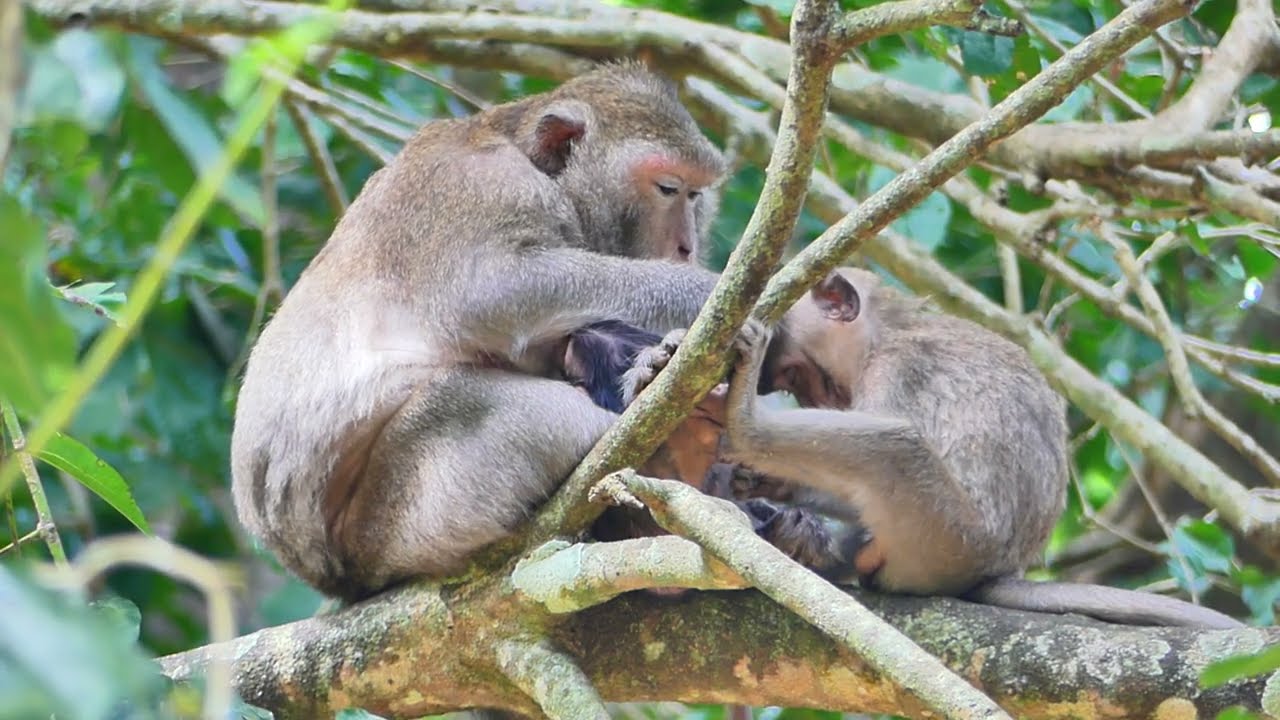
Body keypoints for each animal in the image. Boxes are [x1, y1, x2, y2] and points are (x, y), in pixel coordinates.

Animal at [230, 62, 728, 601]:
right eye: (668, 188)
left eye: (697, 194)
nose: (685, 247)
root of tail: (335, 578)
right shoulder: (478, 186)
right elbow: (486, 289)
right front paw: (704, 290)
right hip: (396, 525)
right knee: (457, 400)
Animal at [624, 267, 1243, 629]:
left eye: (802, 378)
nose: (821, 399)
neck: (890, 331)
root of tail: (999, 567)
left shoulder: (897, 367)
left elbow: (888, 433)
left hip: (948, 539)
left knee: (897, 447)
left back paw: (746, 427)